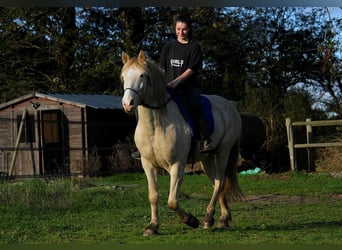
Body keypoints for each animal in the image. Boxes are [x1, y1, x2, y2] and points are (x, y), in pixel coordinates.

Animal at [120, 51, 243, 236]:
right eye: (123, 77)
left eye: (142, 75)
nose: (128, 104)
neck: (156, 124)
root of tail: (229, 105)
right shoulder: (147, 164)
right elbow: (153, 195)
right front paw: (152, 226)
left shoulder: (177, 165)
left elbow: (172, 201)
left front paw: (191, 220)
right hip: (207, 159)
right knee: (216, 182)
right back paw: (222, 218)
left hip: (223, 151)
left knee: (220, 182)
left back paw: (209, 218)